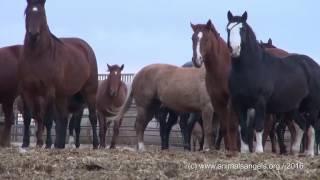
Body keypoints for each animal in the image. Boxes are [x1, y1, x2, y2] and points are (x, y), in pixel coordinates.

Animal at [19, 0, 99, 148]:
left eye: (42, 13)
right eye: (27, 13)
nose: (33, 33)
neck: (37, 56)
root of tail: (86, 47)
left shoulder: (49, 91)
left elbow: (48, 119)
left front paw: (48, 144)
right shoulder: (26, 90)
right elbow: (27, 117)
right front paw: (25, 143)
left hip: (90, 92)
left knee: (92, 117)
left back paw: (96, 144)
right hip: (63, 96)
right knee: (63, 118)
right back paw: (60, 144)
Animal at [191, 19, 239, 153]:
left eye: (206, 39)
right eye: (193, 38)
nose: (197, 60)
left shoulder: (231, 100)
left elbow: (231, 125)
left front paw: (233, 150)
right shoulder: (217, 100)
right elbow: (223, 127)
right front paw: (228, 149)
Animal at [226, 10, 320, 156]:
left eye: (243, 29)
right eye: (228, 29)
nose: (234, 49)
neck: (251, 68)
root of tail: (314, 65)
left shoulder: (260, 103)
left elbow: (258, 127)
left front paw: (259, 151)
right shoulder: (239, 103)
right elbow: (242, 128)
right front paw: (245, 151)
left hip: (312, 107)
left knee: (311, 128)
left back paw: (309, 153)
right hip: (293, 108)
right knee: (301, 126)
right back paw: (294, 151)